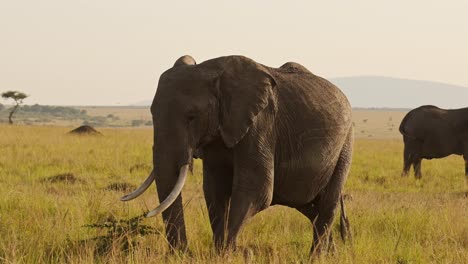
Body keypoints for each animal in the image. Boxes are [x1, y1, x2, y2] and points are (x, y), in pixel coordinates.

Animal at [122, 54, 352, 255]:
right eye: (152, 113)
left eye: (192, 117)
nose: (184, 254)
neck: (212, 73)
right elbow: (214, 190)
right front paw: (219, 252)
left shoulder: (260, 124)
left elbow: (255, 190)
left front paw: (228, 253)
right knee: (309, 207)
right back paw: (331, 254)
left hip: (345, 145)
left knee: (327, 206)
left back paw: (316, 257)